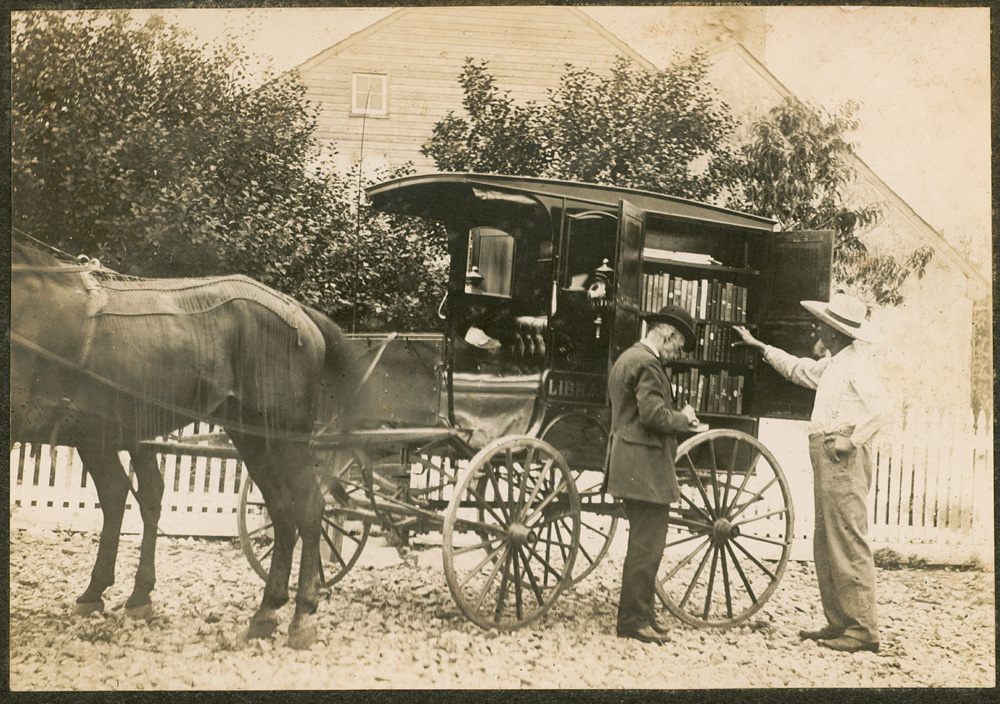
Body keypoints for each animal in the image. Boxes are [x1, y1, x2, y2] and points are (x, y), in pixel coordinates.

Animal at [9, 241, 362, 648]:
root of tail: (298, 311)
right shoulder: (95, 435)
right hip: (252, 436)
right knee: (280, 510)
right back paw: (266, 610)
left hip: (285, 436)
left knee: (309, 507)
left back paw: (303, 615)